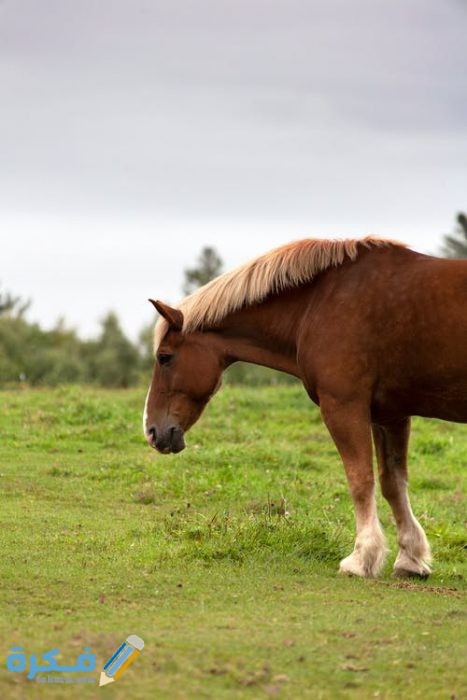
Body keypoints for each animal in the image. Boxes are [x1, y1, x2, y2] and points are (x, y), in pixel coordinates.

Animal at [143, 237, 467, 578]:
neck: (319, 302)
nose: (152, 431)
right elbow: (393, 482)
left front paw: (361, 558)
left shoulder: (343, 406)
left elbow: (360, 480)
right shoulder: (390, 415)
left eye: (165, 357)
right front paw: (410, 559)